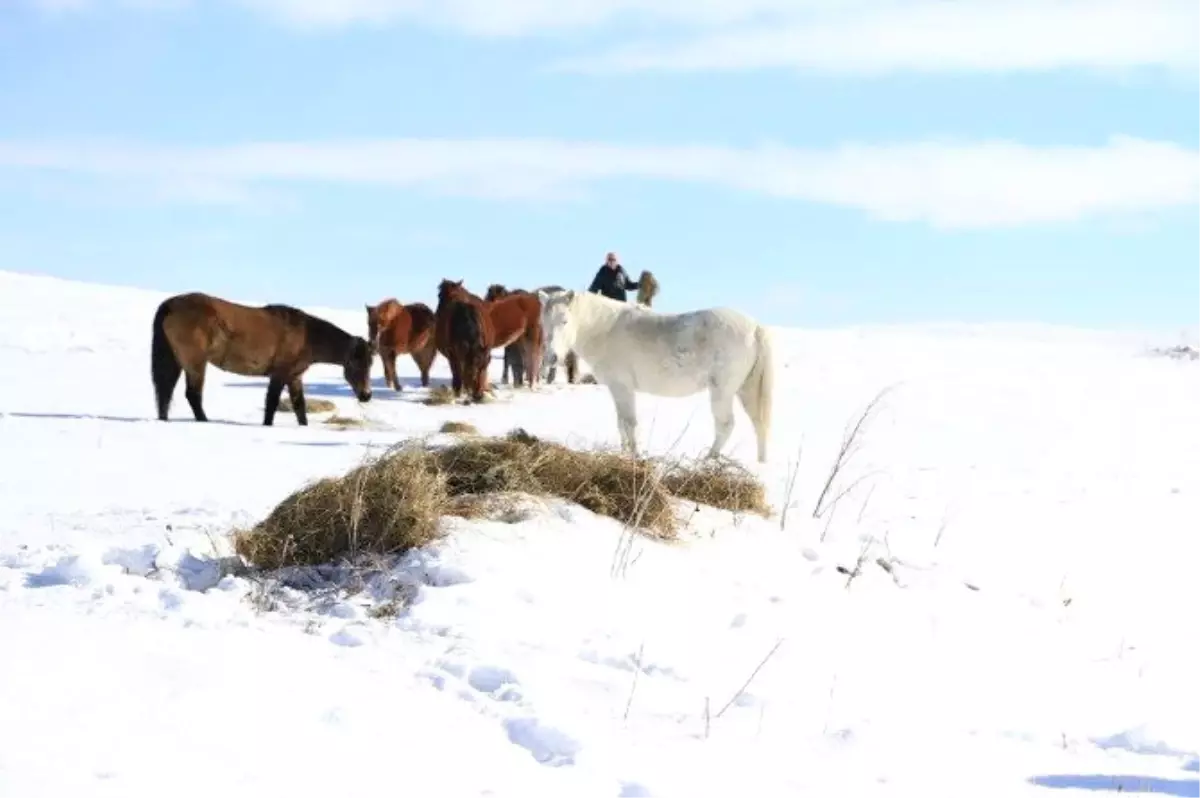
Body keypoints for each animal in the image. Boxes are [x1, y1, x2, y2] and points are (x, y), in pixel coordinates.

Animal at [152, 291, 372, 422]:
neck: (306, 335)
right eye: (356, 364)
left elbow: (299, 407)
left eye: (370, 364)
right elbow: (272, 403)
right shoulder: (280, 374)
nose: (366, 395)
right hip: (196, 363)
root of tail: (170, 305)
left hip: (174, 360)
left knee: (165, 391)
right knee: (192, 394)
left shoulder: (294, 377)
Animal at [537, 288, 777, 463]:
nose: (551, 357)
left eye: (565, 320)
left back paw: (707, 460)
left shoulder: (622, 387)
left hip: (722, 391)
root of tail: (755, 327)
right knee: (758, 424)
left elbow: (629, 422)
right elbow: (621, 423)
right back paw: (760, 464)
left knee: (725, 425)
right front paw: (623, 453)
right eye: (544, 323)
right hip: (745, 389)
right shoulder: (617, 390)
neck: (605, 329)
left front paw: (634, 456)